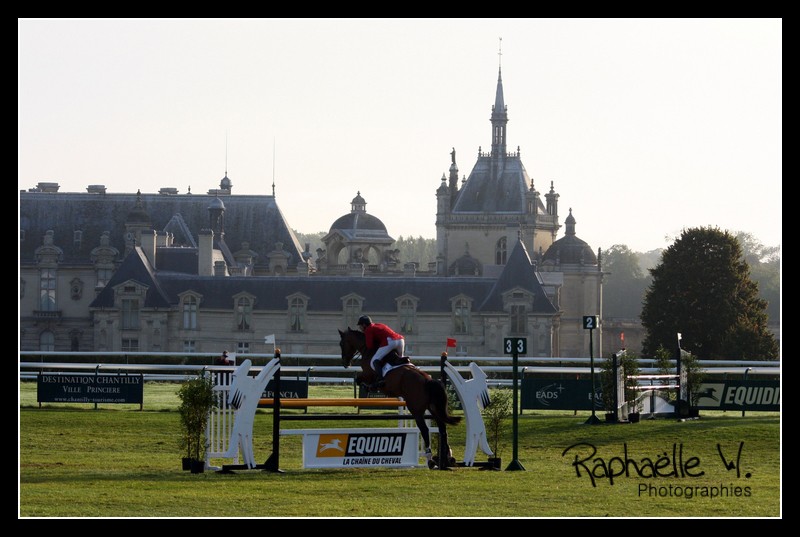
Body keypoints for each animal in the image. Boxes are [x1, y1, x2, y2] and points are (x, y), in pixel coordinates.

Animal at [340, 324, 462, 466]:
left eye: (341, 343)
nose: (345, 363)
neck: (367, 349)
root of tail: (428, 380)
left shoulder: (368, 374)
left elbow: (359, 380)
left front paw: (370, 387)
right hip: (433, 408)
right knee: (442, 428)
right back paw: (448, 457)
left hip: (416, 409)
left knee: (425, 430)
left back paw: (430, 458)